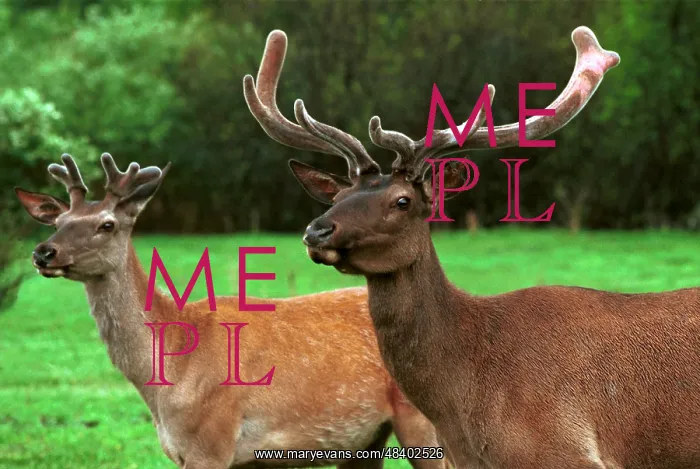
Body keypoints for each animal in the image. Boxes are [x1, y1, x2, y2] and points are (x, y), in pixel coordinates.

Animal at [14, 153, 450, 469]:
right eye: (59, 220)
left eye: (106, 224)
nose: (43, 252)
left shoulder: (212, 439)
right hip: (364, 440)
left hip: (421, 419)